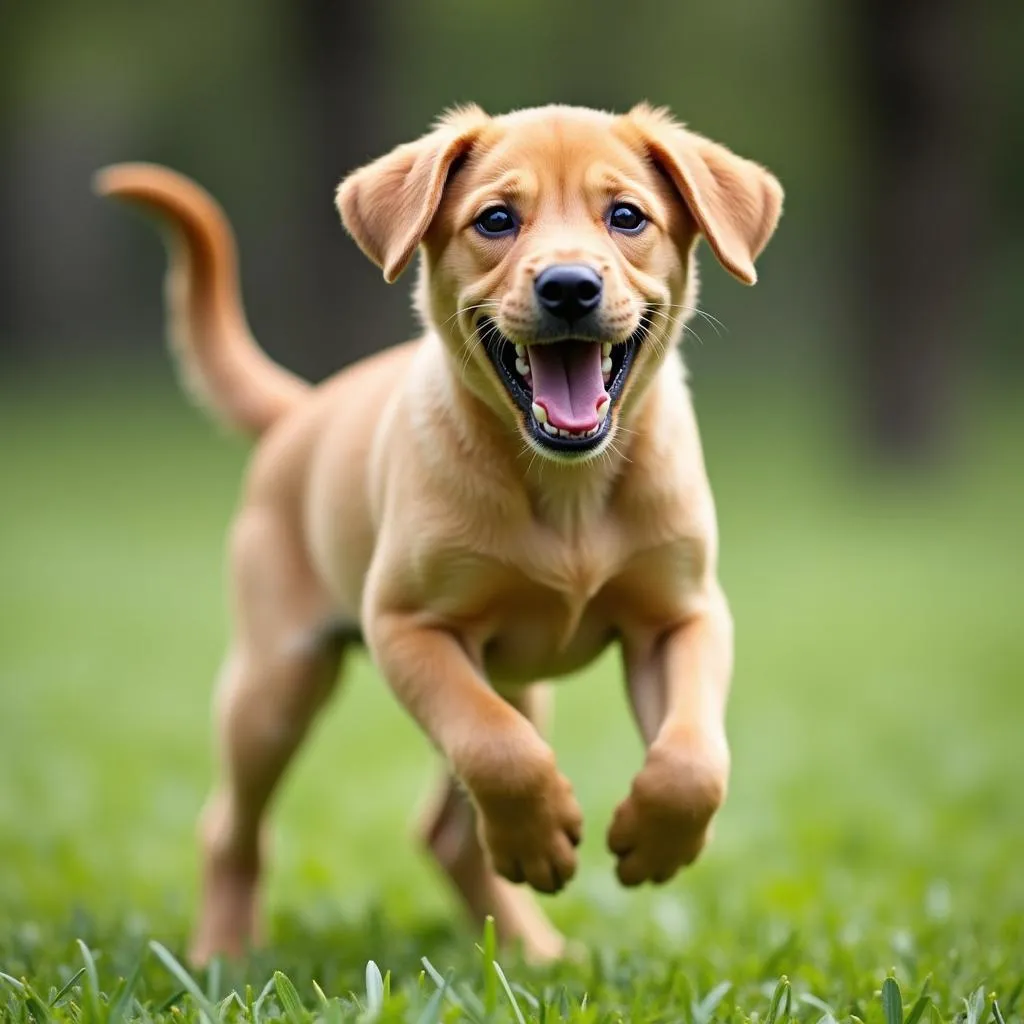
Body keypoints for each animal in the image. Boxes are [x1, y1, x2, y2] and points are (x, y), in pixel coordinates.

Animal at [97, 99, 782, 962]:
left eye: (627, 216)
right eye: (496, 219)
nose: (569, 287)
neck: (566, 488)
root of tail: (303, 411)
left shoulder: (681, 616)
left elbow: (693, 758)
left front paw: (653, 844)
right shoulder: (409, 626)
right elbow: (496, 748)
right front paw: (549, 831)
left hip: (516, 681)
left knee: (451, 838)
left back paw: (535, 950)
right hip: (274, 681)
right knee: (233, 826)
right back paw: (222, 954)